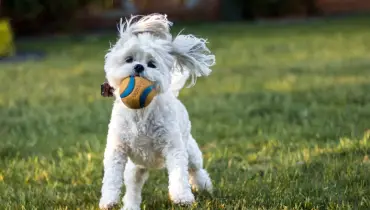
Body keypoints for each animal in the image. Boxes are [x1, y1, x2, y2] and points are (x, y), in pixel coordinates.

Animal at [98, 13, 215, 210]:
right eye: (129, 59)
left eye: (152, 64)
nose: (139, 66)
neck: (140, 112)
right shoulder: (117, 148)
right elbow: (112, 176)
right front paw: (108, 200)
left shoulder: (173, 147)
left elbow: (178, 173)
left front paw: (182, 197)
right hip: (135, 167)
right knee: (133, 188)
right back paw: (130, 205)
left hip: (190, 149)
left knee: (196, 168)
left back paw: (204, 185)